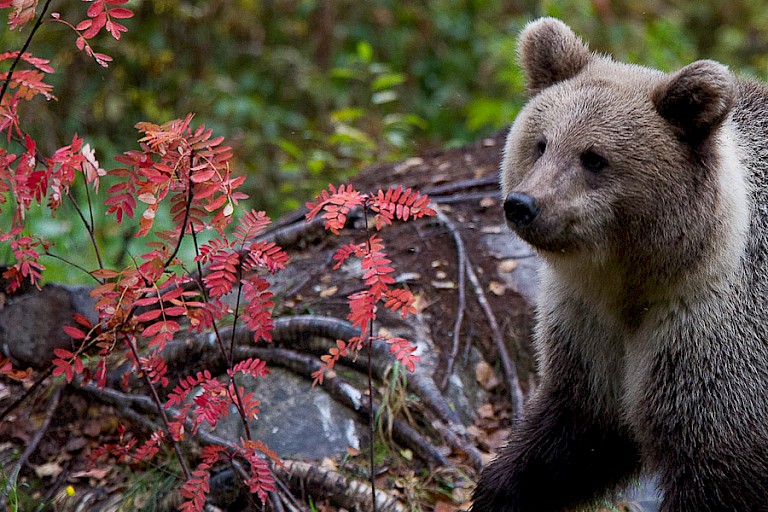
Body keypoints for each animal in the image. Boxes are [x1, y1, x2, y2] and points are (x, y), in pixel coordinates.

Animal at [472, 16, 768, 512]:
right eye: (541, 143)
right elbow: (576, 430)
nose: (523, 205)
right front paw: (500, 490)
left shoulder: (709, 337)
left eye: (594, 157)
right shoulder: (592, 329)